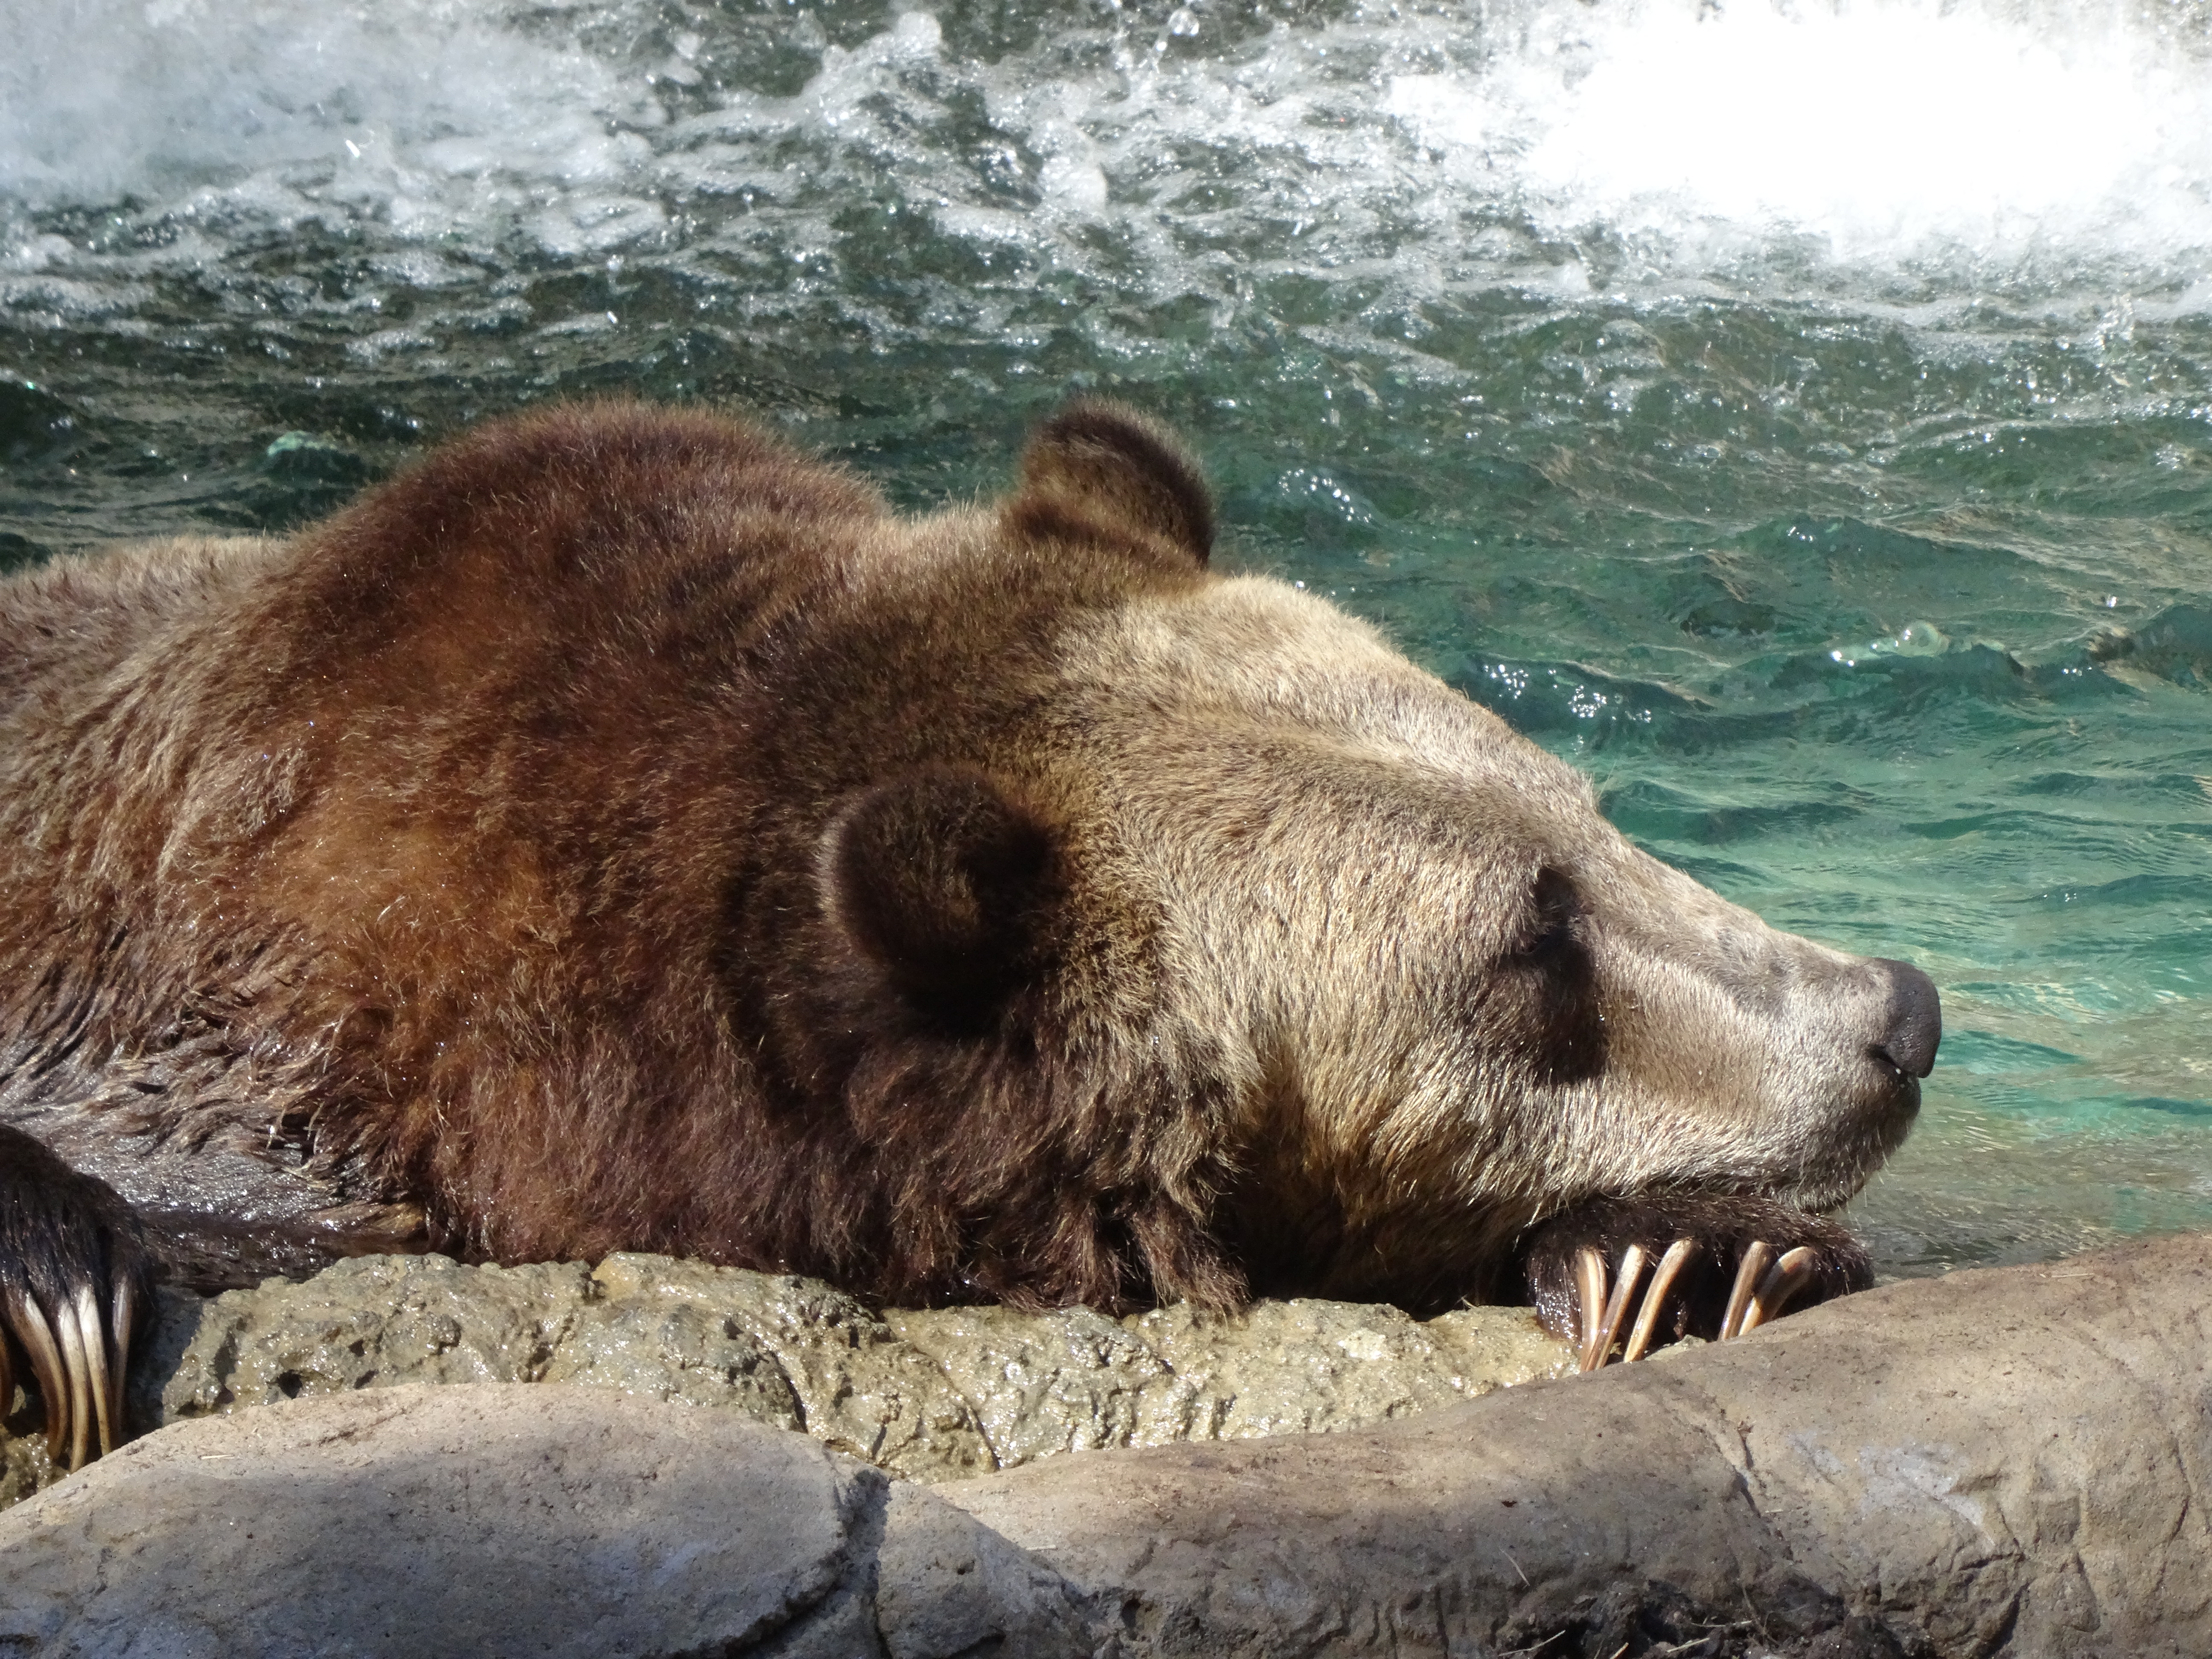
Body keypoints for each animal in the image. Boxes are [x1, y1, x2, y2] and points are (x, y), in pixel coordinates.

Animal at [0, 401, 1938, 1468]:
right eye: (1528, 953)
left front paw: (1691, 1255)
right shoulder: (237, 1068)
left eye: (1584, 818)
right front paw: (55, 1286)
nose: (1896, 1019)